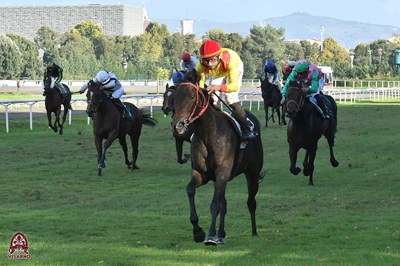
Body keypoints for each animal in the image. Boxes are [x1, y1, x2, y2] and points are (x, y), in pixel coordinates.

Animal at [172, 70, 266, 245]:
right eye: (174, 97)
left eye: (192, 96)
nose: (177, 126)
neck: (209, 134)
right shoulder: (202, 173)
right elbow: (190, 190)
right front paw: (198, 231)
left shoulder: (222, 173)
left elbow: (215, 204)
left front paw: (210, 235)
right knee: (224, 203)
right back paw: (221, 233)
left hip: (252, 173)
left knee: (251, 201)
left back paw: (254, 231)